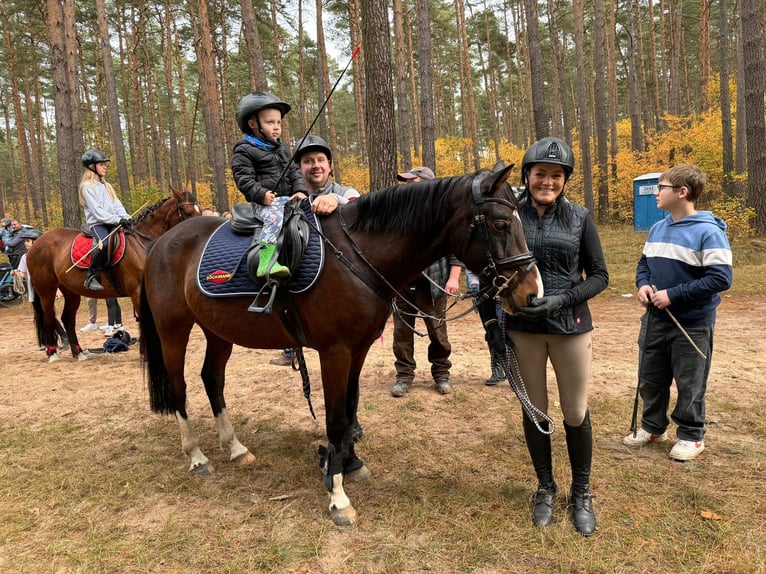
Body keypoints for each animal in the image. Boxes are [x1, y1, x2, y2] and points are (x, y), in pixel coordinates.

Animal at [28, 187, 200, 362]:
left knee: (68, 319)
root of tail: (37, 243)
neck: (142, 243)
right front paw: (146, 355)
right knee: (49, 317)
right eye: (188, 212)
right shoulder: (137, 291)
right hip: (46, 290)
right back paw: (52, 353)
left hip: (70, 291)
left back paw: (78, 352)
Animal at [140, 165, 544, 528]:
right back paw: (197, 456)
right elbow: (335, 419)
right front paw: (338, 498)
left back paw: (236, 448)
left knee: (212, 380)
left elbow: (350, 410)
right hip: (173, 330)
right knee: (179, 388)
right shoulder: (334, 351)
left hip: (218, 331)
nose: (532, 292)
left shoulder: (359, 349)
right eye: (501, 225)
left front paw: (349, 464)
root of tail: (161, 243)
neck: (359, 253)